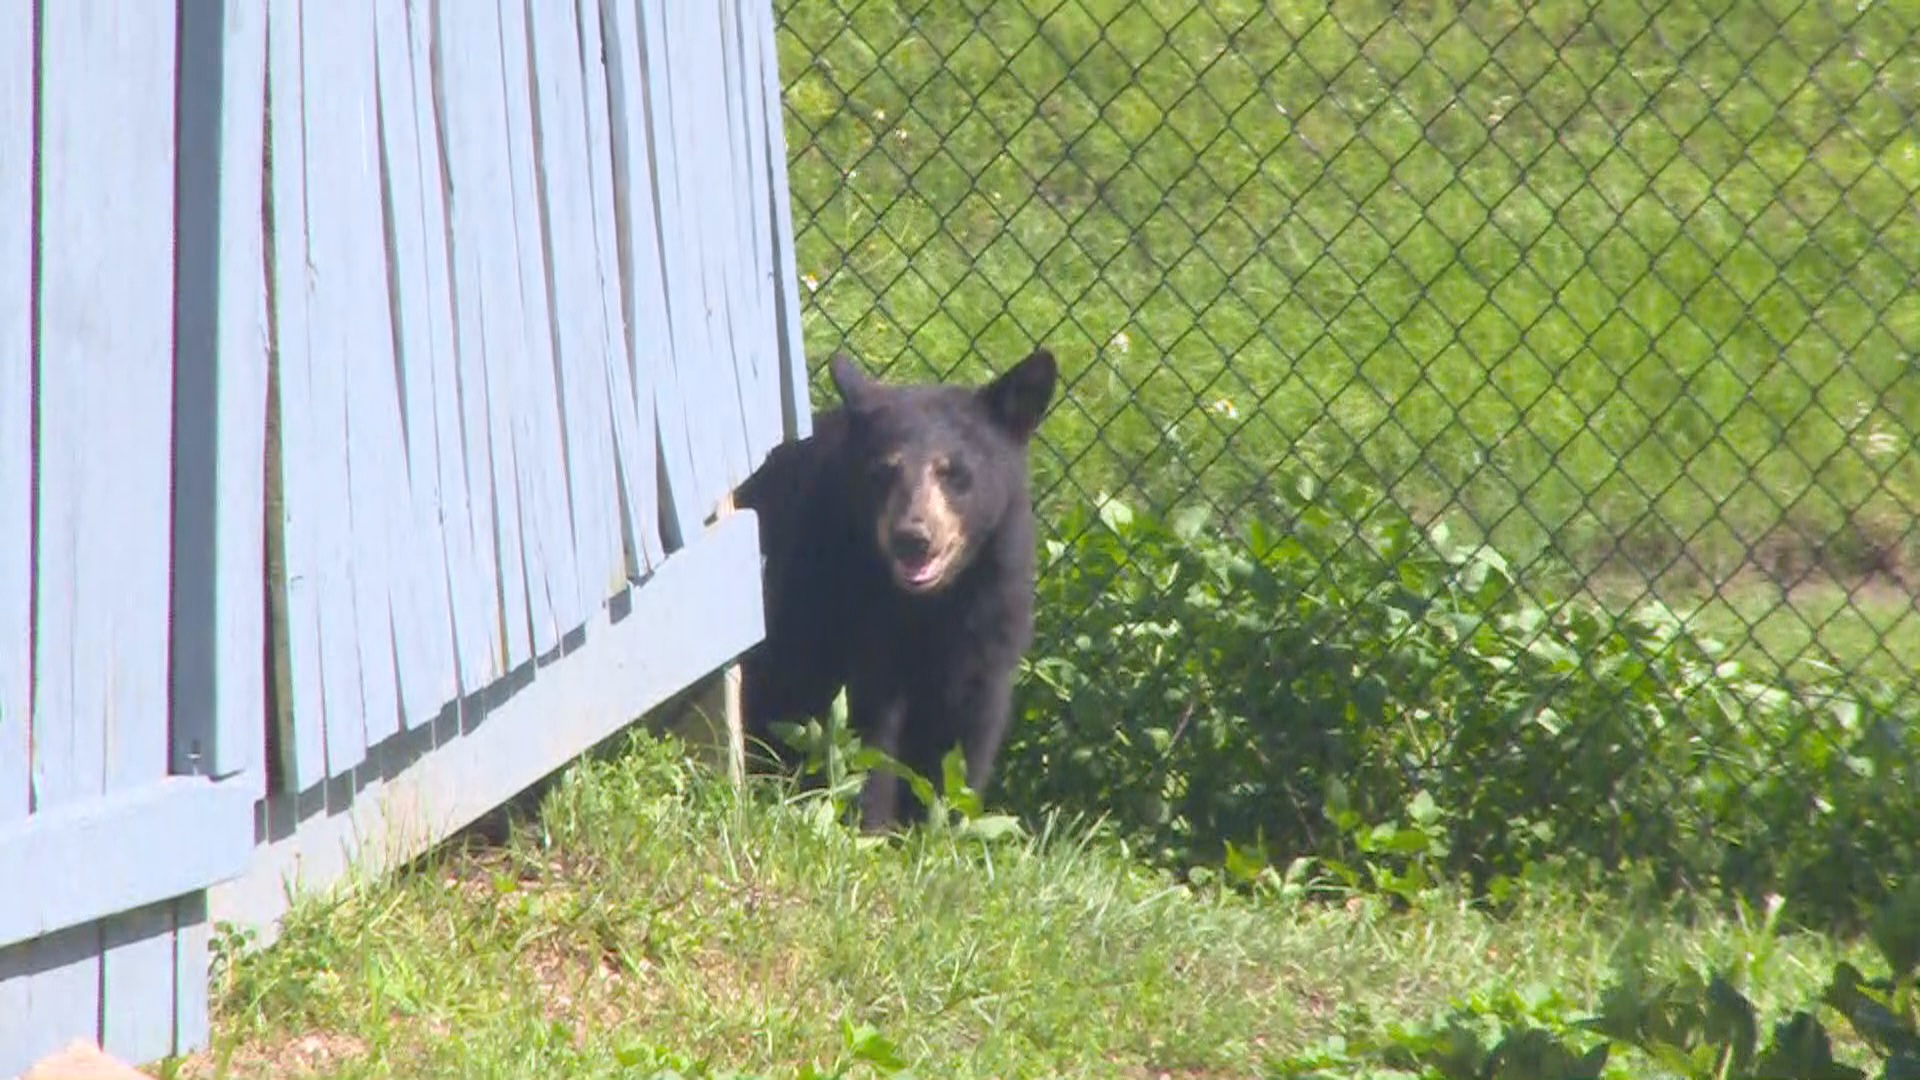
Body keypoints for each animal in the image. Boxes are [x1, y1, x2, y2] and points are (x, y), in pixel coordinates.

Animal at [737, 343, 1067, 822]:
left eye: (954, 472)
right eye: (882, 471)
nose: (912, 538)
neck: (923, 606)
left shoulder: (990, 612)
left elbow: (964, 738)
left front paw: (940, 824)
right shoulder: (834, 602)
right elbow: (859, 732)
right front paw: (866, 824)